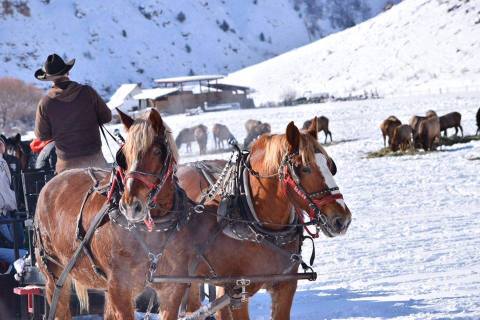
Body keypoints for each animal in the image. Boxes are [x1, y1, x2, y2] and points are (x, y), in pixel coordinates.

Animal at [33, 109, 192, 318]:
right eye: (123, 155)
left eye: (157, 151)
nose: (131, 206)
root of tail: (48, 185)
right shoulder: (120, 289)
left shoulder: (171, 290)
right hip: (55, 275)